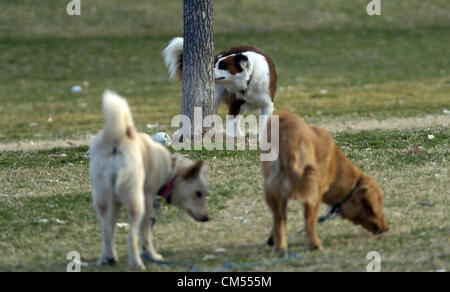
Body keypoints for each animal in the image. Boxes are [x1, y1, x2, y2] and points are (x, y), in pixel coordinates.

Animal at [92, 90, 213, 270]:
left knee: (105, 230)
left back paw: (106, 259)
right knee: (131, 235)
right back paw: (137, 262)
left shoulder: (114, 203)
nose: (207, 218)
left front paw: (108, 256)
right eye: (198, 193)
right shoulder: (147, 199)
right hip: (136, 202)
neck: (170, 169)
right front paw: (152, 254)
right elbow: (146, 232)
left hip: (101, 198)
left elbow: (109, 230)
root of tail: (117, 139)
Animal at [262, 110, 388, 252]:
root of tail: (286, 132)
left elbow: (279, 221)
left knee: (279, 219)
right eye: (380, 206)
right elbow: (310, 220)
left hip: (272, 188)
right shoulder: (317, 192)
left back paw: (280, 248)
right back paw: (315, 244)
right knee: (308, 219)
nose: (387, 228)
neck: (336, 165)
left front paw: (272, 239)